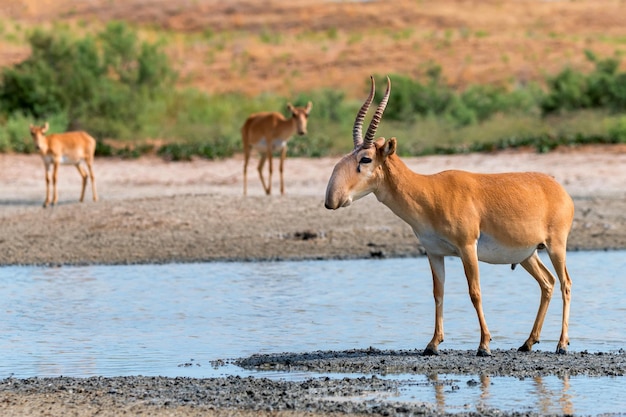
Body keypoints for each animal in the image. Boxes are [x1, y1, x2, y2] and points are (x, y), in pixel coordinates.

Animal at [324, 76, 572, 356]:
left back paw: (561, 344)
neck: (430, 191)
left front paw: (484, 345)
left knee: (565, 284)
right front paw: (432, 344)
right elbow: (438, 293)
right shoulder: (434, 253)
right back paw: (528, 342)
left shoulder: (467, 247)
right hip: (528, 254)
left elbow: (474, 291)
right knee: (547, 283)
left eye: (365, 159)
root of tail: (558, 188)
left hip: (555, 246)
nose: (332, 199)